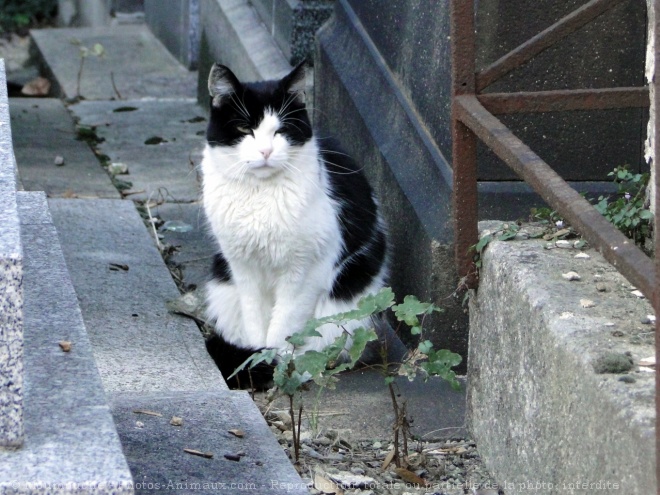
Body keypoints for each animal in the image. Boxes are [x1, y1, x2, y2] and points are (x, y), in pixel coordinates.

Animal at [201, 63, 402, 388]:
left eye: (281, 130)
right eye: (245, 129)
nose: (266, 151)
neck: (260, 195)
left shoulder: (306, 271)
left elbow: (284, 326)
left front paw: (273, 364)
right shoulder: (243, 269)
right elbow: (256, 322)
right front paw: (255, 358)